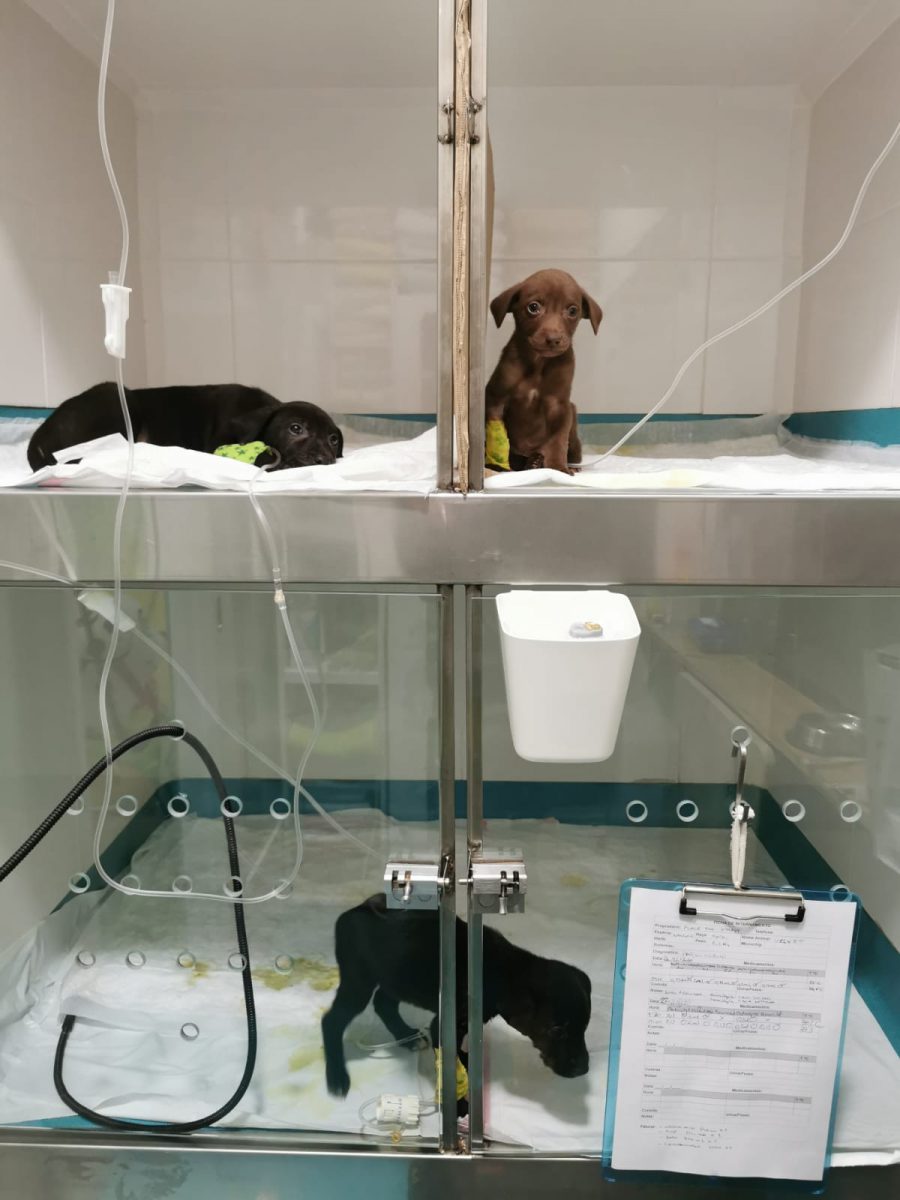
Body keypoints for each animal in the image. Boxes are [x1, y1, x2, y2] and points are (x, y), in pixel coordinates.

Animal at [321, 893, 591, 1099]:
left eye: (584, 1027)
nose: (582, 1070)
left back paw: (406, 1036)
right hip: (359, 982)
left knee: (383, 1004)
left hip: (396, 976)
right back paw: (337, 1076)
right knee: (331, 1021)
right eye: (556, 1030)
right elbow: (452, 1057)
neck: (505, 972)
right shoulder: (445, 1022)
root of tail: (354, 911)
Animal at [486, 268, 602, 474]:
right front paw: (495, 466)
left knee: (571, 449)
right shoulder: (495, 398)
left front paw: (558, 469)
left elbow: (557, 442)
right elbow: (495, 436)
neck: (538, 363)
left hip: (573, 417)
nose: (554, 339)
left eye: (573, 310)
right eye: (533, 307)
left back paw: (545, 462)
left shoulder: (560, 406)